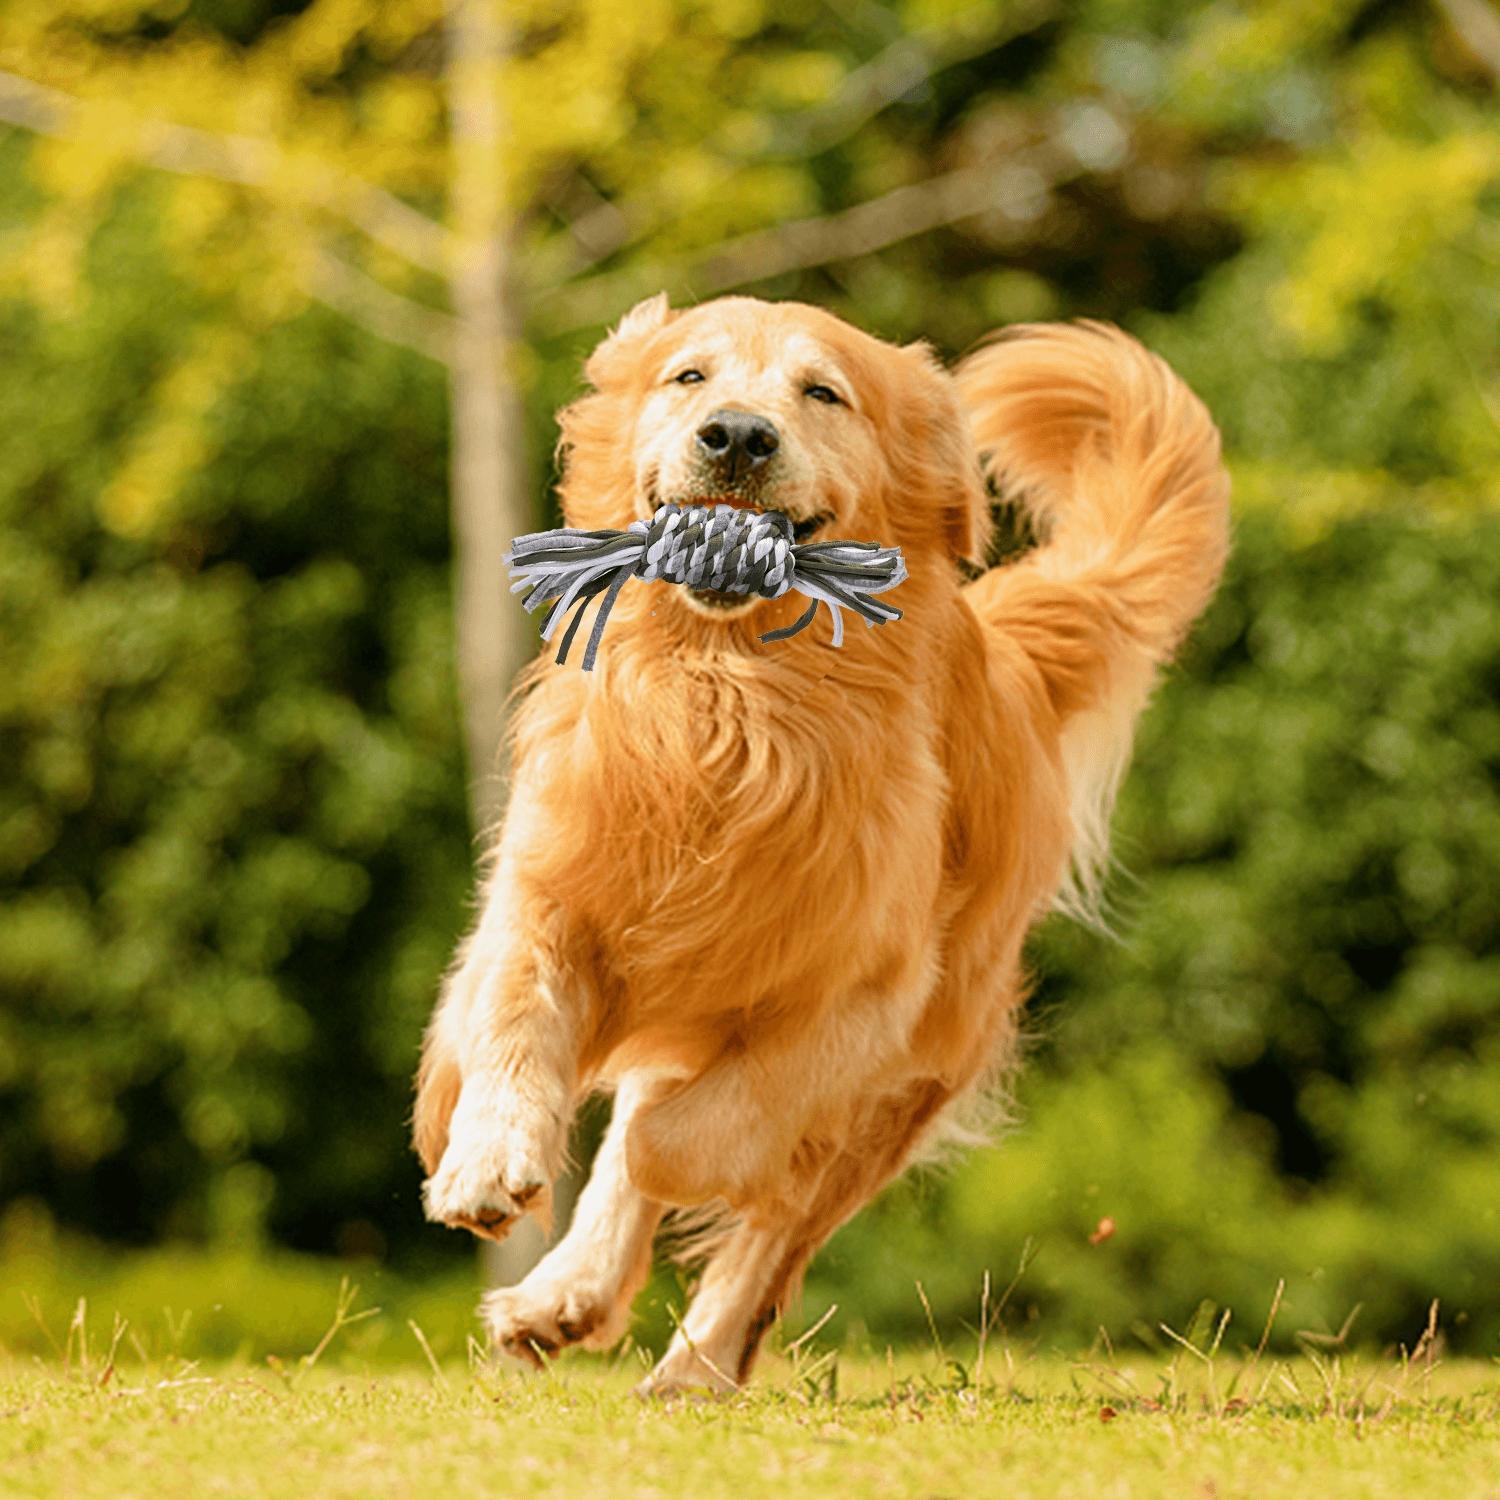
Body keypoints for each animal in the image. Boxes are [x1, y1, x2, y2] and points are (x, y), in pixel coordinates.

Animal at [411, 292, 1230, 1392]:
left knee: (772, 1227)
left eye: (823, 392)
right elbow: (514, 1023)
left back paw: (692, 1368)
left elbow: (690, 1137)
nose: (737, 436)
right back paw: (564, 1296)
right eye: (689, 377)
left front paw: (663, 1178)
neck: (726, 700)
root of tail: (1005, 656)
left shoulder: (865, 1001)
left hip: (912, 1076)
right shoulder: (546, 892)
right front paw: (485, 1163)